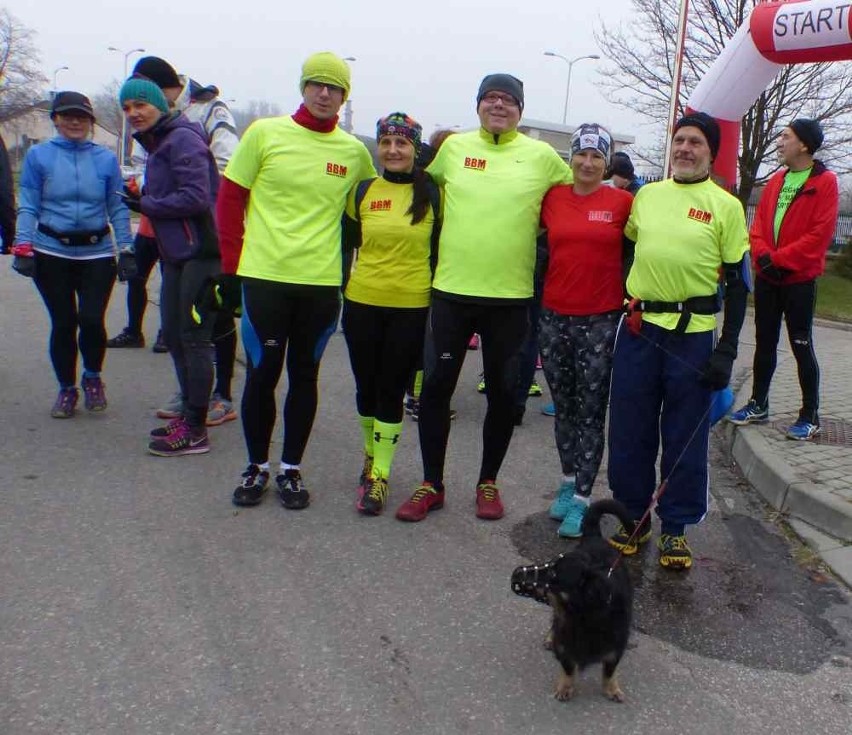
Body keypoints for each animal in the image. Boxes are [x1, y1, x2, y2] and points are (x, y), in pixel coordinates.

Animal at [510, 500, 636, 700]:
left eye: (553, 574)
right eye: (549, 564)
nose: (516, 573)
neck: (583, 617)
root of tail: (594, 537)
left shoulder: (615, 650)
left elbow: (609, 671)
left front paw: (611, 689)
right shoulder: (564, 648)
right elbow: (568, 669)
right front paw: (565, 687)